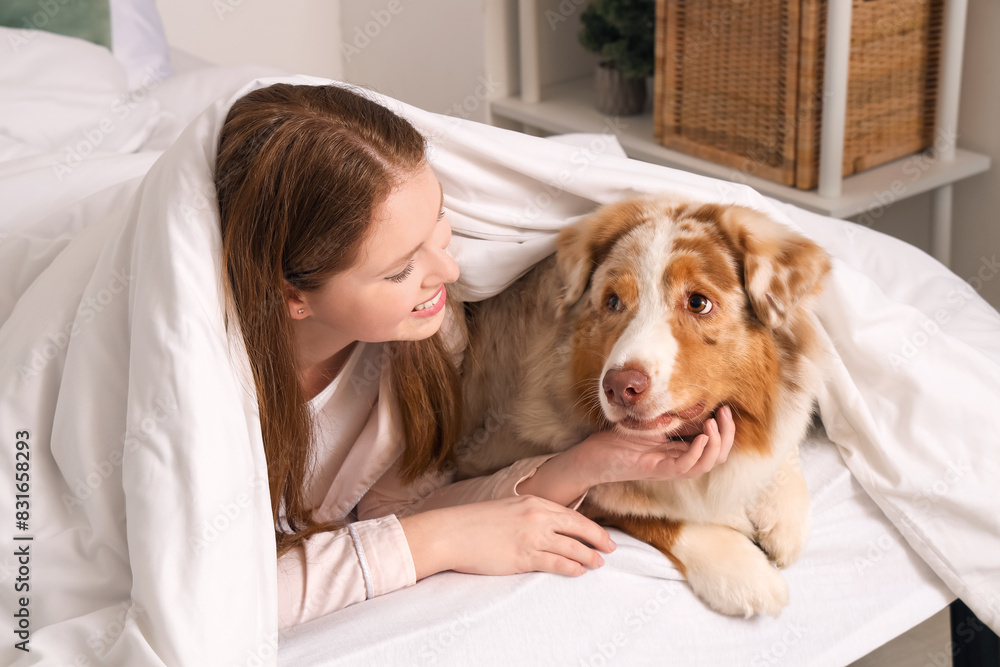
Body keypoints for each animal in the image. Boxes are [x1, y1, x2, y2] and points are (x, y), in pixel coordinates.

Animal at [458, 196, 832, 620]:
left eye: (698, 302)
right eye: (612, 302)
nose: (621, 387)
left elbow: (782, 440)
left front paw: (782, 511)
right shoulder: (485, 457)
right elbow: (643, 509)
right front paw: (742, 572)